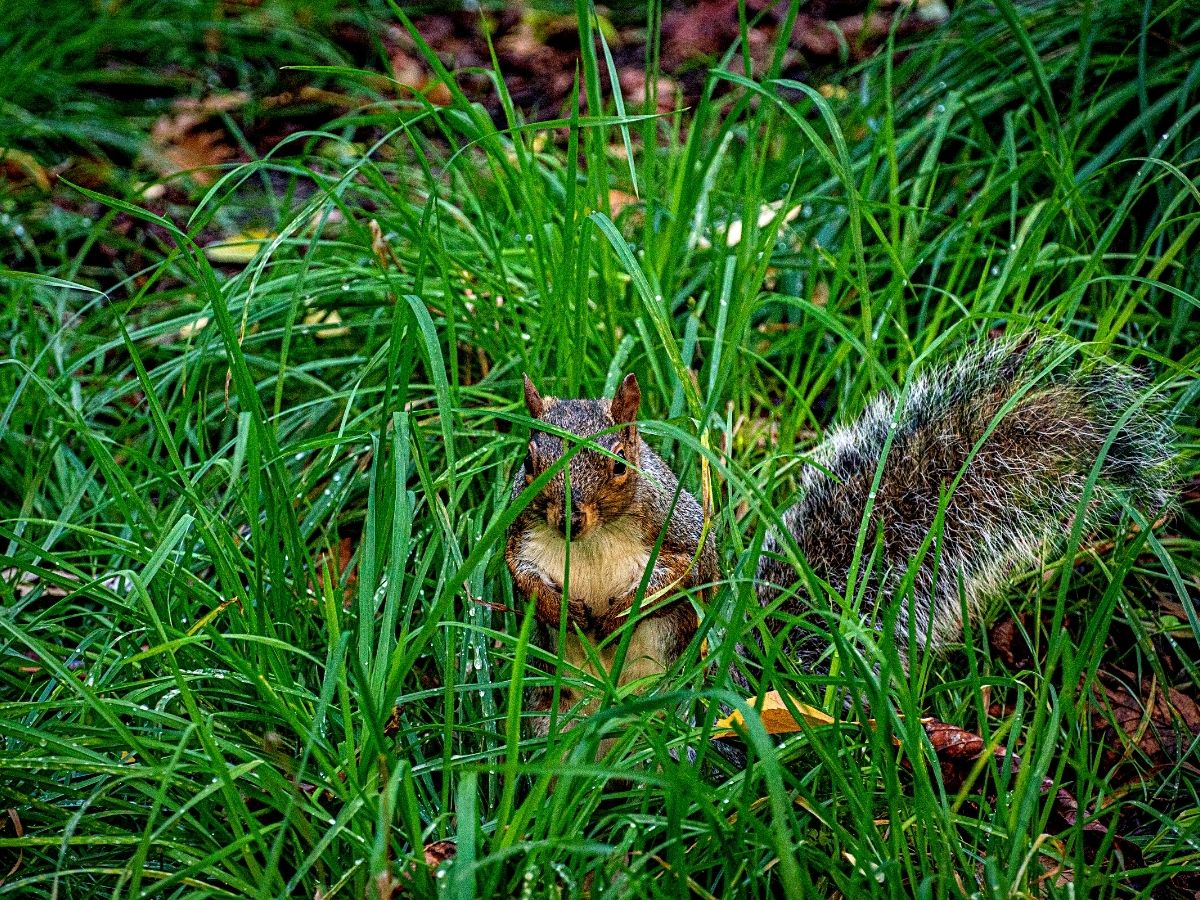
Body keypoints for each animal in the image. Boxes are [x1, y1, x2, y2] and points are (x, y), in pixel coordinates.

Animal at [504, 336, 1171, 734]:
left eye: (620, 464)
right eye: (530, 463)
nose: (568, 520)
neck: (593, 544)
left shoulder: (675, 521)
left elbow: (689, 566)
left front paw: (626, 603)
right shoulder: (519, 531)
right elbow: (517, 572)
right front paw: (557, 606)